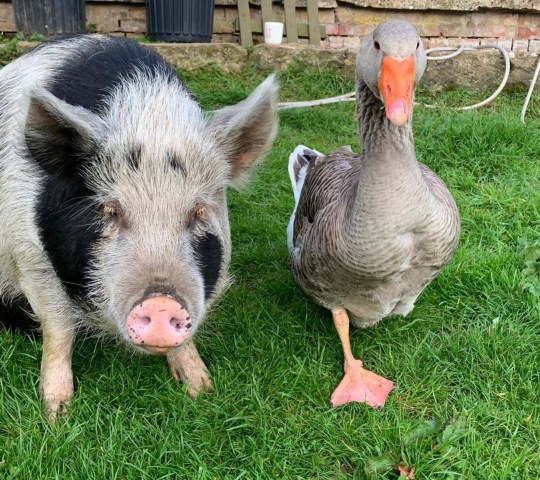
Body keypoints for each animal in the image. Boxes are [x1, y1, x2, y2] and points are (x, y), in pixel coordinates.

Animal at [0, 35, 278, 422]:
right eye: (110, 210)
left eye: (198, 212)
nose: (161, 303)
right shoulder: (29, 254)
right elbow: (59, 328)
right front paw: (56, 414)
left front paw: (201, 389)